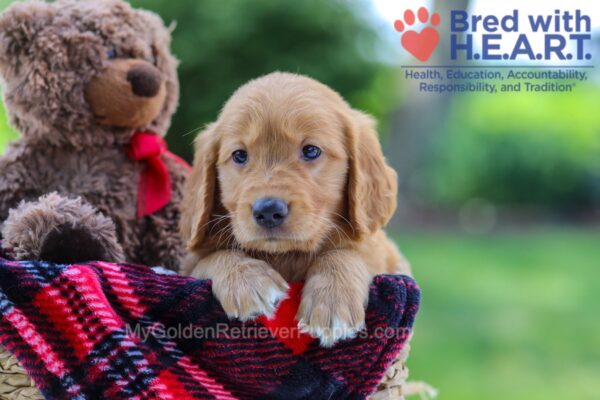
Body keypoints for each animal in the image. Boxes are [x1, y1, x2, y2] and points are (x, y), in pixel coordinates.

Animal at [180, 72, 410, 346]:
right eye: (239, 155)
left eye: (311, 150)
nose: (268, 210)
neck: (287, 255)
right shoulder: (187, 264)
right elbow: (212, 258)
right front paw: (248, 281)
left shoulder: (384, 253)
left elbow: (347, 253)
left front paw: (332, 301)